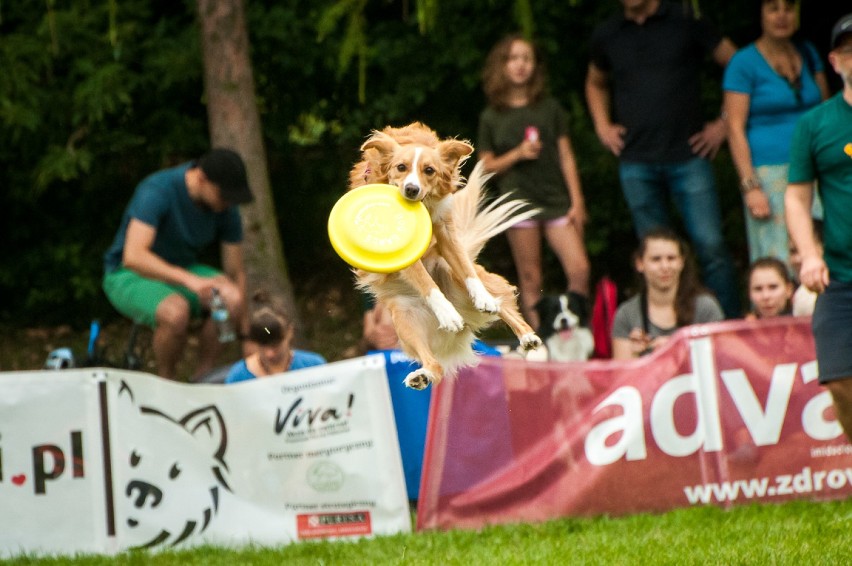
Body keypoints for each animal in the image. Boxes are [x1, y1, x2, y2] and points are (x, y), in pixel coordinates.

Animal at [350, 123, 544, 390]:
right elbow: (426, 282)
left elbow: (468, 271)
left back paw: (526, 336)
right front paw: (448, 314)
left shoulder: (447, 234)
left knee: (501, 304)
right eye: (401, 167)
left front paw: (483, 299)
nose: (411, 189)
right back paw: (423, 374)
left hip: (452, 275)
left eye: (429, 170)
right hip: (405, 320)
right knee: (435, 365)